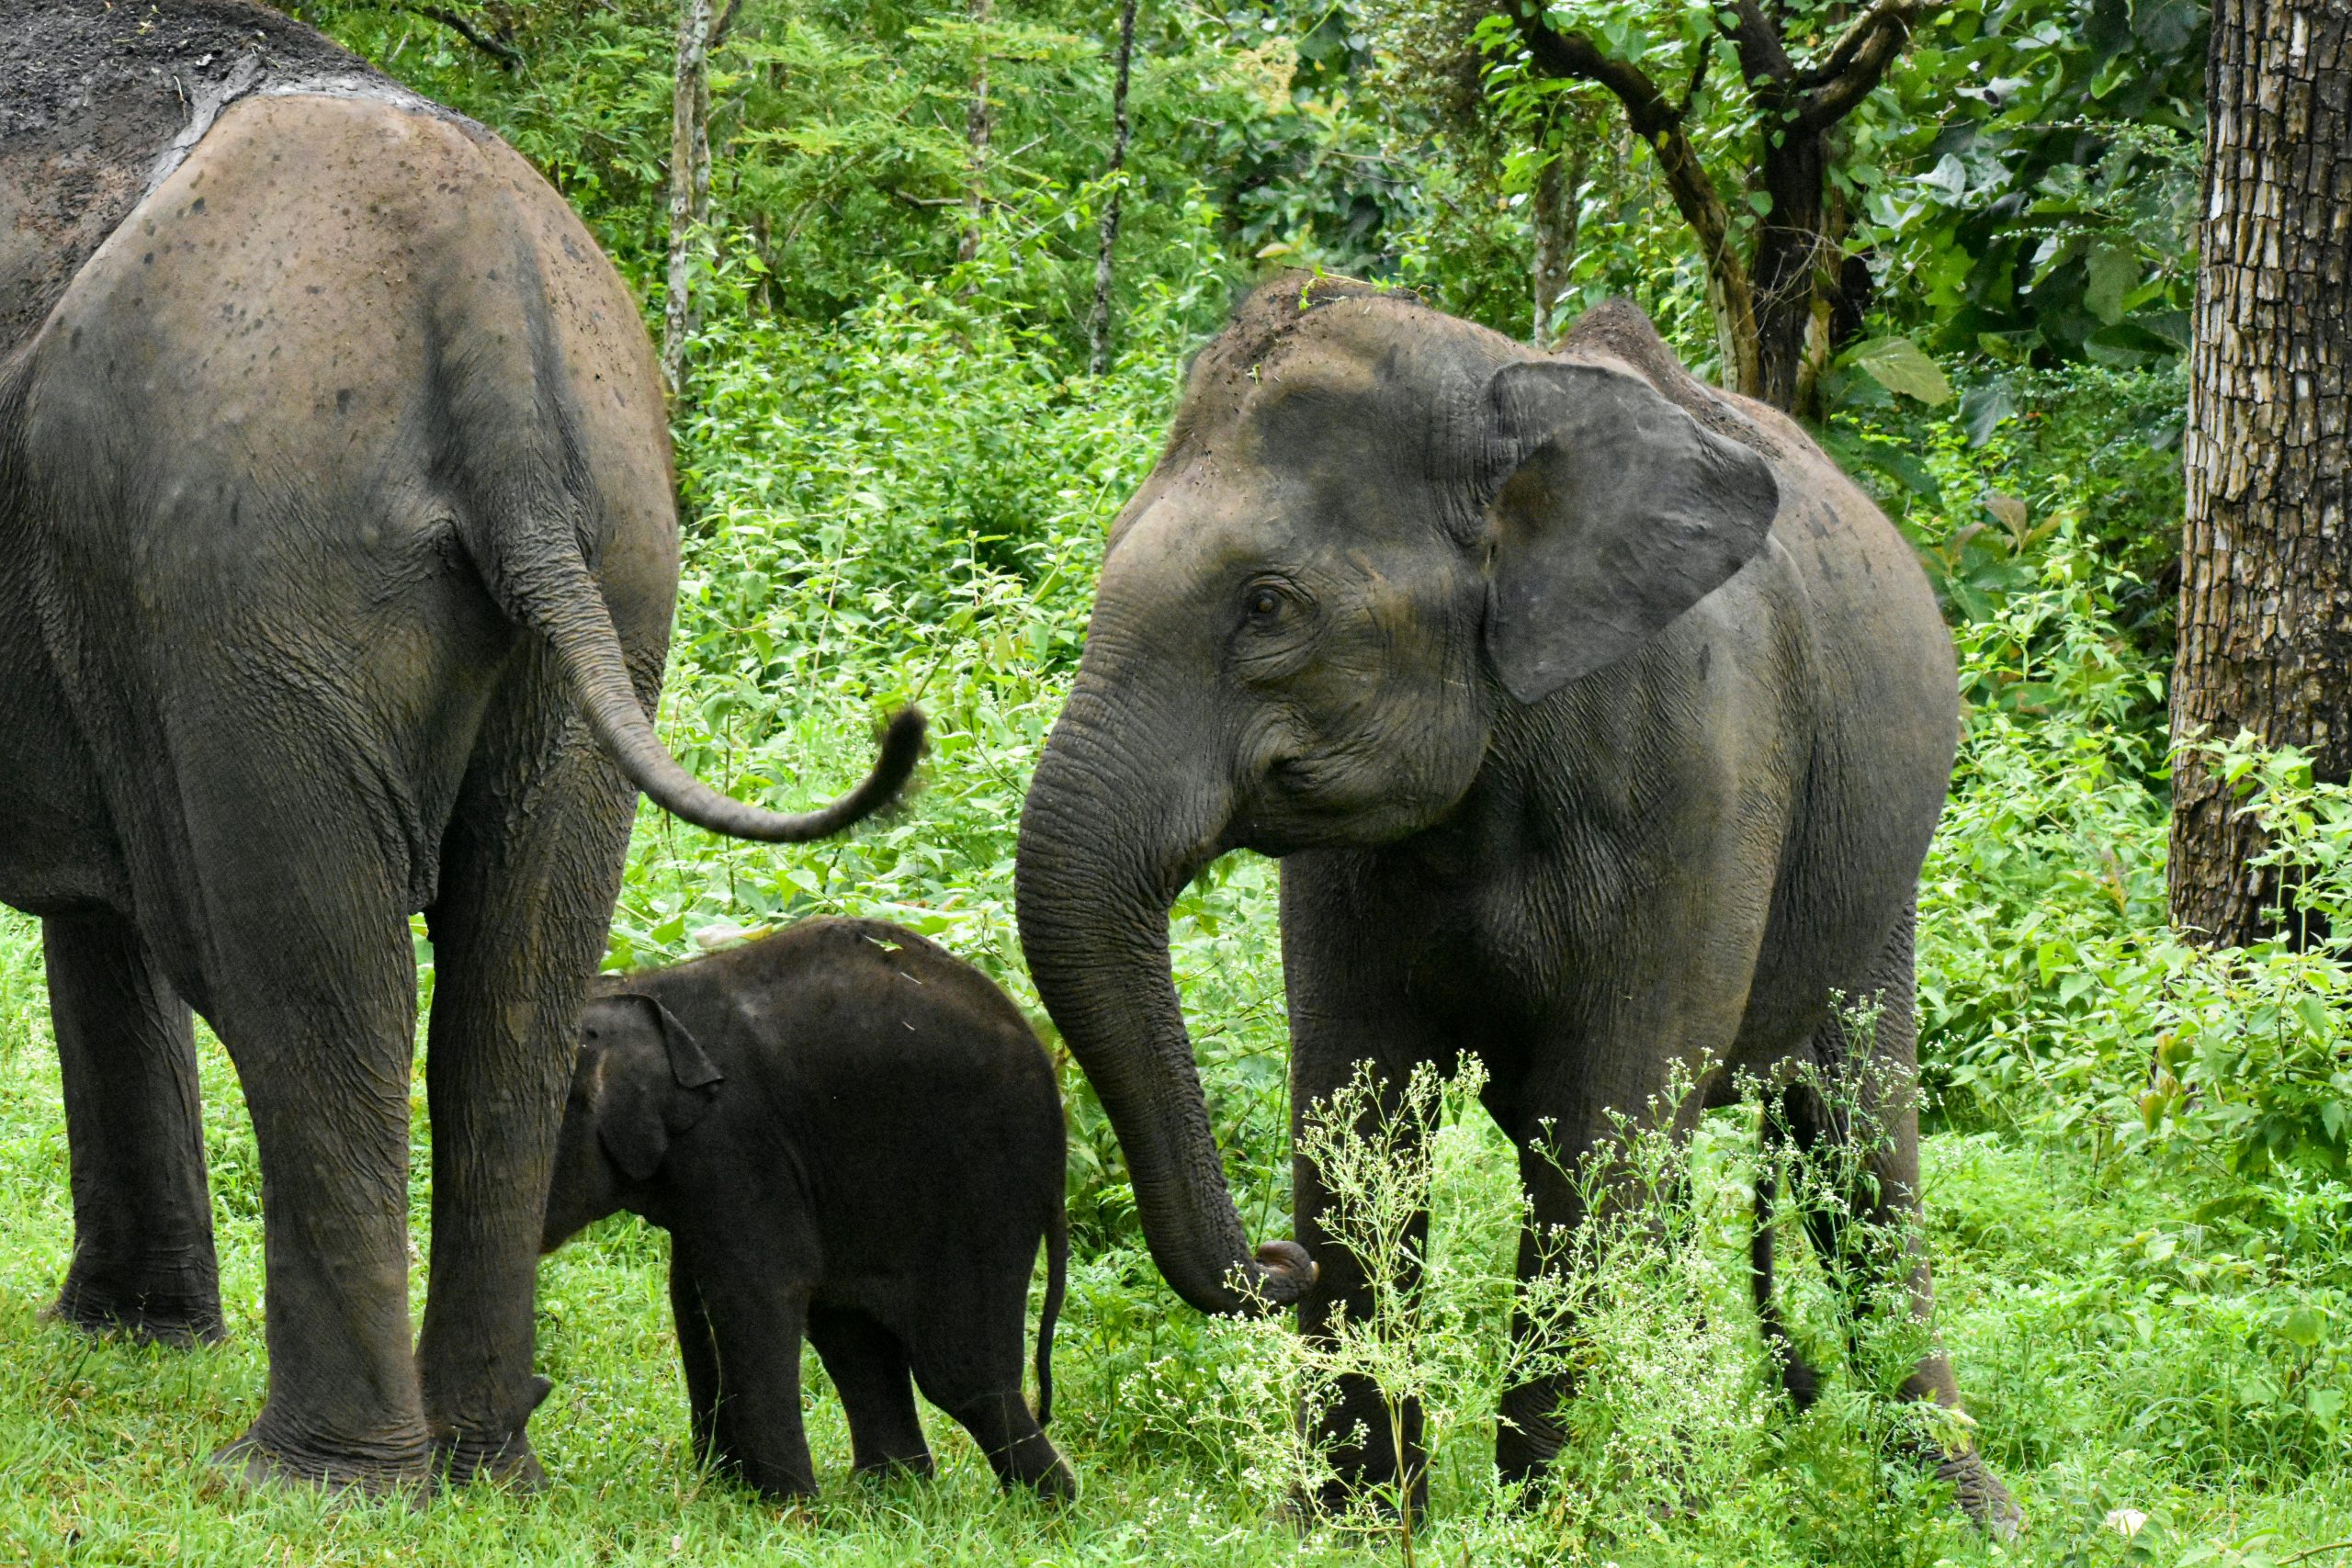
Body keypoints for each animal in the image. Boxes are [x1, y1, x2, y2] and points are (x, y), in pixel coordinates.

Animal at [0, 1, 920, 1491]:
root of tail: (476, 280)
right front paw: (130, 1335)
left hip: (253, 580)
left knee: (312, 984)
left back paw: (311, 1478)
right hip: (611, 563)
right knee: (513, 994)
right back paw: (484, 1457)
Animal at [540, 918, 1075, 1501]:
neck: (637, 991)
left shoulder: (736, 1138)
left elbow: (754, 1289)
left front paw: (779, 1506)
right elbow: (692, 1292)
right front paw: (728, 1486)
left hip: (985, 1182)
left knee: (957, 1368)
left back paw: (1047, 1504)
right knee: (852, 1335)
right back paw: (888, 1494)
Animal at [1013, 276, 2021, 1532]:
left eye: (1267, 605)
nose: (1273, 1266)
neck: (1507, 399)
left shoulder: (1701, 774)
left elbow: (1597, 1122)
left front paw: (1549, 1521)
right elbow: (1358, 1103)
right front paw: (1352, 1526)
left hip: (1880, 871)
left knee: (1855, 1147)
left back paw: (1959, 1511)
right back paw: (1683, 1492)